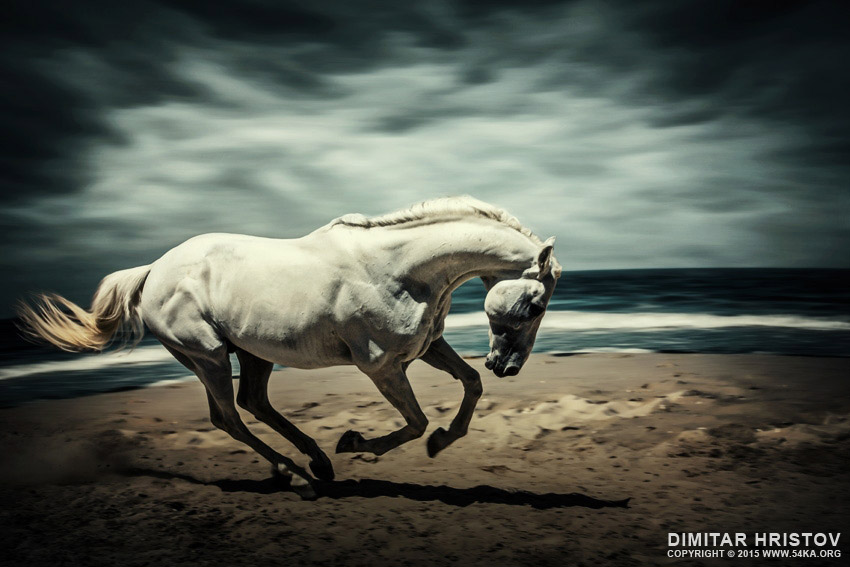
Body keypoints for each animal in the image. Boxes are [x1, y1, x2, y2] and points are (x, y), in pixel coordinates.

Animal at [18, 197, 556, 494]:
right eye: (535, 306)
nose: (507, 366)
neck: (401, 270)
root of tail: (153, 269)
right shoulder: (381, 366)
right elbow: (416, 420)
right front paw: (357, 443)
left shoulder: (424, 348)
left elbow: (470, 385)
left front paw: (442, 441)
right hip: (207, 355)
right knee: (229, 417)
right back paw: (296, 473)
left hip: (251, 353)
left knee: (252, 402)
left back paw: (317, 464)